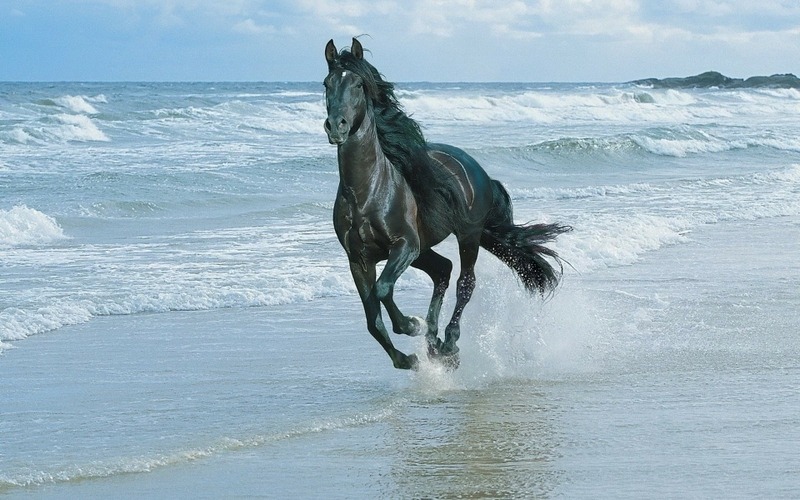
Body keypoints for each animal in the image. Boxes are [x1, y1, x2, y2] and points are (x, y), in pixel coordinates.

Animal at [324, 37, 568, 370]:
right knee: (443, 270)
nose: (336, 126)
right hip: (425, 249)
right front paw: (408, 358)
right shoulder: (358, 259)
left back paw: (448, 342)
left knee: (465, 282)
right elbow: (372, 319)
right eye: (326, 84)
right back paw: (434, 343)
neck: (366, 192)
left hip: (467, 236)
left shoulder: (404, 245)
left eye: (359, 84)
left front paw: (411, 325)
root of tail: (476, 169)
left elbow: (383, 290)